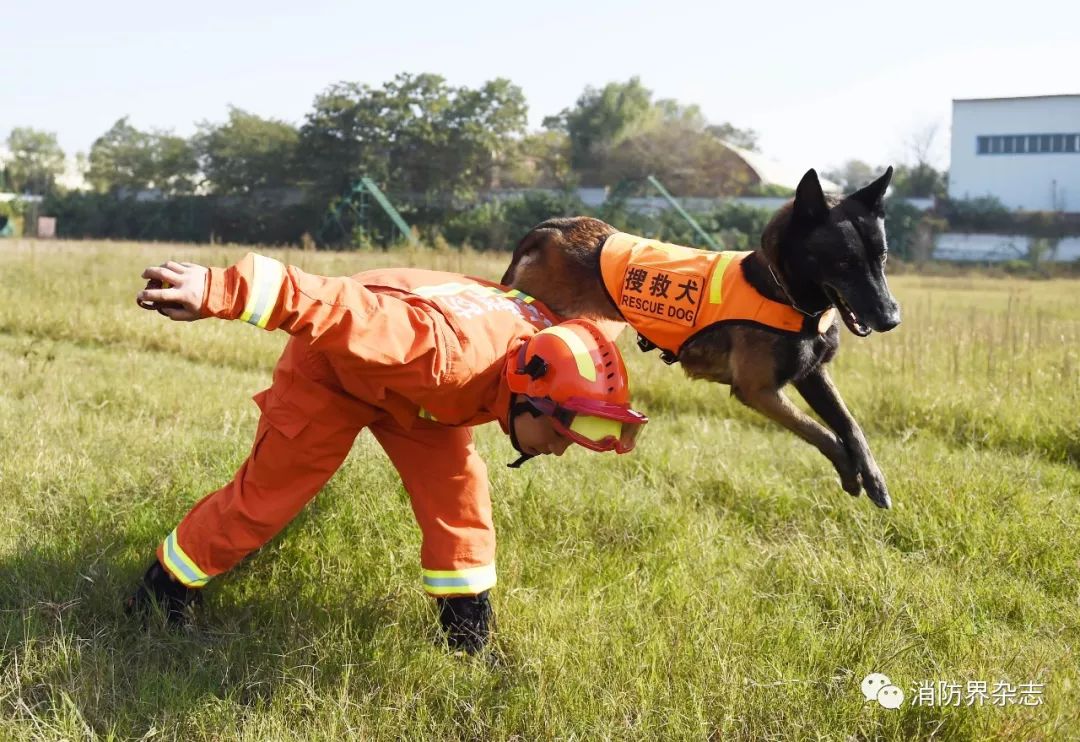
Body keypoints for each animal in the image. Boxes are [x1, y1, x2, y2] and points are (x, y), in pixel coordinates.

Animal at [501, 166, 898, 507]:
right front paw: (850, 473)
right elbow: (822, 432)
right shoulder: (760, 392)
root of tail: (556, 227)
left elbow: (850, 426)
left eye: (882, 258)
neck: (780, 289)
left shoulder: (812, 375)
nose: (891, 318)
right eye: (844, 262)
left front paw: (874, 478)